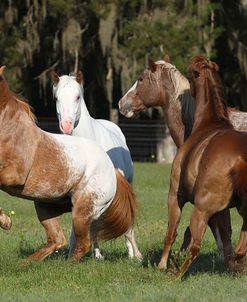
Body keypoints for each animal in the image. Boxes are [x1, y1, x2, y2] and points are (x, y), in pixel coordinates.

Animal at [158, 54, 247, 278]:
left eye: (191, 72)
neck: (210, 122)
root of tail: (240, 158)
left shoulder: (175, 196)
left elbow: (172, 233)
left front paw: (162, 264)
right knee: (242, 245)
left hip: (201, 209)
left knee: (196, 246)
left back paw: (177, 274)